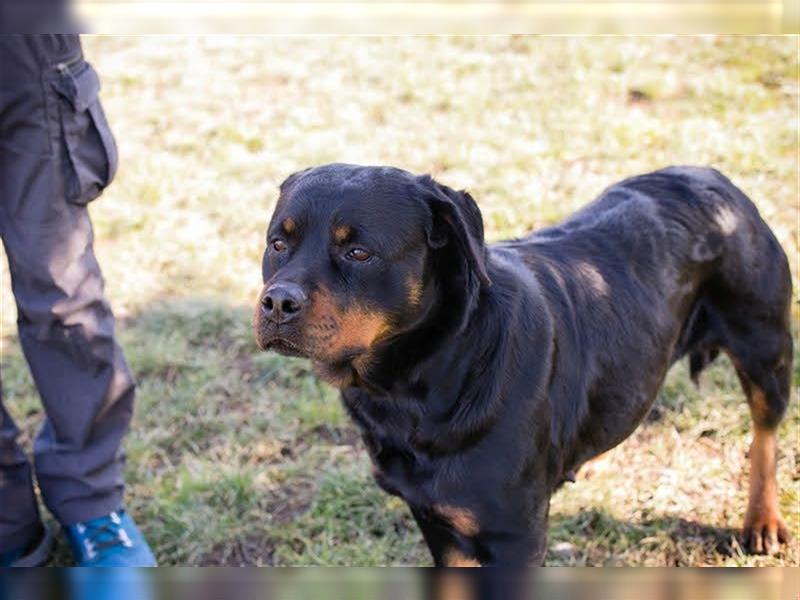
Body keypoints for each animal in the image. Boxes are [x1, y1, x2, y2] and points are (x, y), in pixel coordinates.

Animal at [253, 164, 792, 568]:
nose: (277, 302)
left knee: (766, 430)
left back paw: (762, 520)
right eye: (278, 244)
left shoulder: (515, 535)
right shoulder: (438, 523)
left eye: (359, 252)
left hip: (765, 345)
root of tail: (713, 177)